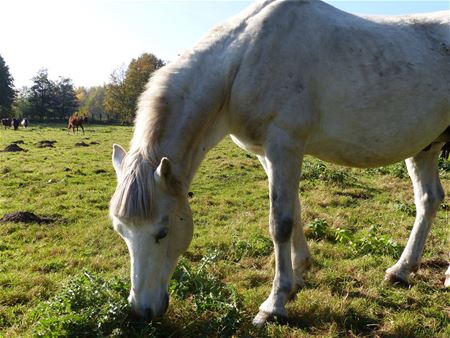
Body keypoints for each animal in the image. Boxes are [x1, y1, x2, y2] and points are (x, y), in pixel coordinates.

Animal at [110, 0, 450, 328]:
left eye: (163, 231)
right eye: (120, 230)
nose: (141, 311)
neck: (244, 60)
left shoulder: (284, 146)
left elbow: (280, 223)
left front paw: (274, 305)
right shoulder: (268, 154)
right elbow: (294, 212)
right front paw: (299, 274)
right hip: (426, 147)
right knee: (429, 200)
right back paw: (401, 270)